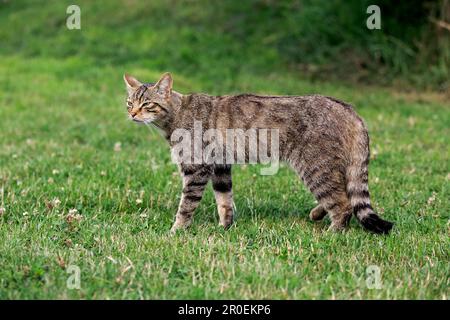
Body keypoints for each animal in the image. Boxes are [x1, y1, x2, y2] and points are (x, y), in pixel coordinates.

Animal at [123, 72, 394, 235]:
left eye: (147, 104)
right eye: (129, 103)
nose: (132, 114)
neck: (175, 117)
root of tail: (349, 109)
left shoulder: (196, 169)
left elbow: (186, 205)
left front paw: (176, 231)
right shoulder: (220, 167)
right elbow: (225, 201)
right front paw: (225, 227)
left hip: (316, 168)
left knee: (343, 203)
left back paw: (333, 233)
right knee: (343, 196)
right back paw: (318, 213)